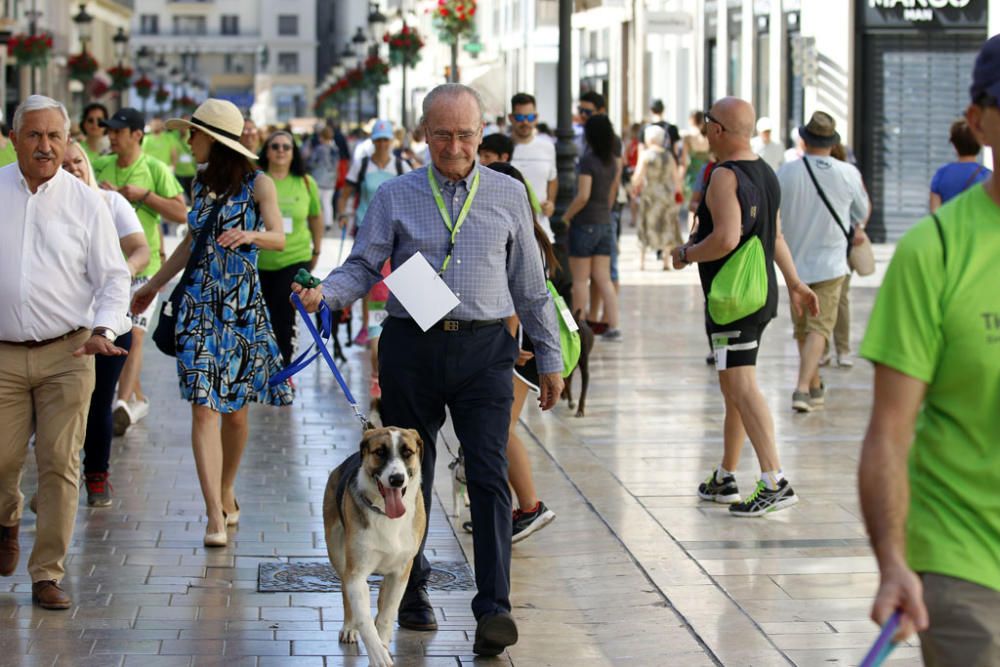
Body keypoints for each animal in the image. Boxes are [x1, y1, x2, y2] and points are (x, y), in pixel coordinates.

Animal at [324, 428, 426, 667]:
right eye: (379, 452)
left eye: (408, 452)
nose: (397, 480)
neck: (385, 513)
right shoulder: (356, 575)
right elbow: (364, 619)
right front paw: (378, 655)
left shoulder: (400, 573)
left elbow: (387, 615)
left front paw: (384, 645)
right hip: (337, 552)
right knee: (346, 592)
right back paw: (349, 628)